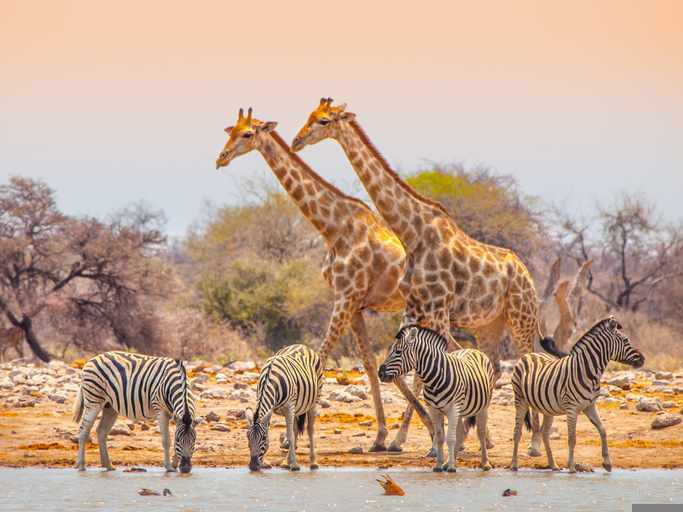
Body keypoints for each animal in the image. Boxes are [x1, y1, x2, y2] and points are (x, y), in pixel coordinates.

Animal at [378, 325, 496, 472]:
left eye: (398, 352)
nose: (380, 373)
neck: (433, 379)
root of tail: (472, 349)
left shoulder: (453, 408)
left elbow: (450, 438)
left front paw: (451, 468)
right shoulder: (434, 409)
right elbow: (440, 437)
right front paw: (439, 465)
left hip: (482, 406)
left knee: (480, 432)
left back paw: (485, 463)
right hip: (460, 410)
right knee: (461, 432)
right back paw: (448, 462)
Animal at [511, 316, 644, 473]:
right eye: (626, 340)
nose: (643, 359)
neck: (588, 371)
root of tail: (530, 354)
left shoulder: (590, 406)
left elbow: (603, 430)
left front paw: (607, 463)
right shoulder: (572, 408)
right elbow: (572, 438)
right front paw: (572, 467)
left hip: (547, 408)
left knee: (544, 433)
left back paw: (553, 465)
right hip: (520, 400)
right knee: (517, 432)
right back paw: (514, 465)